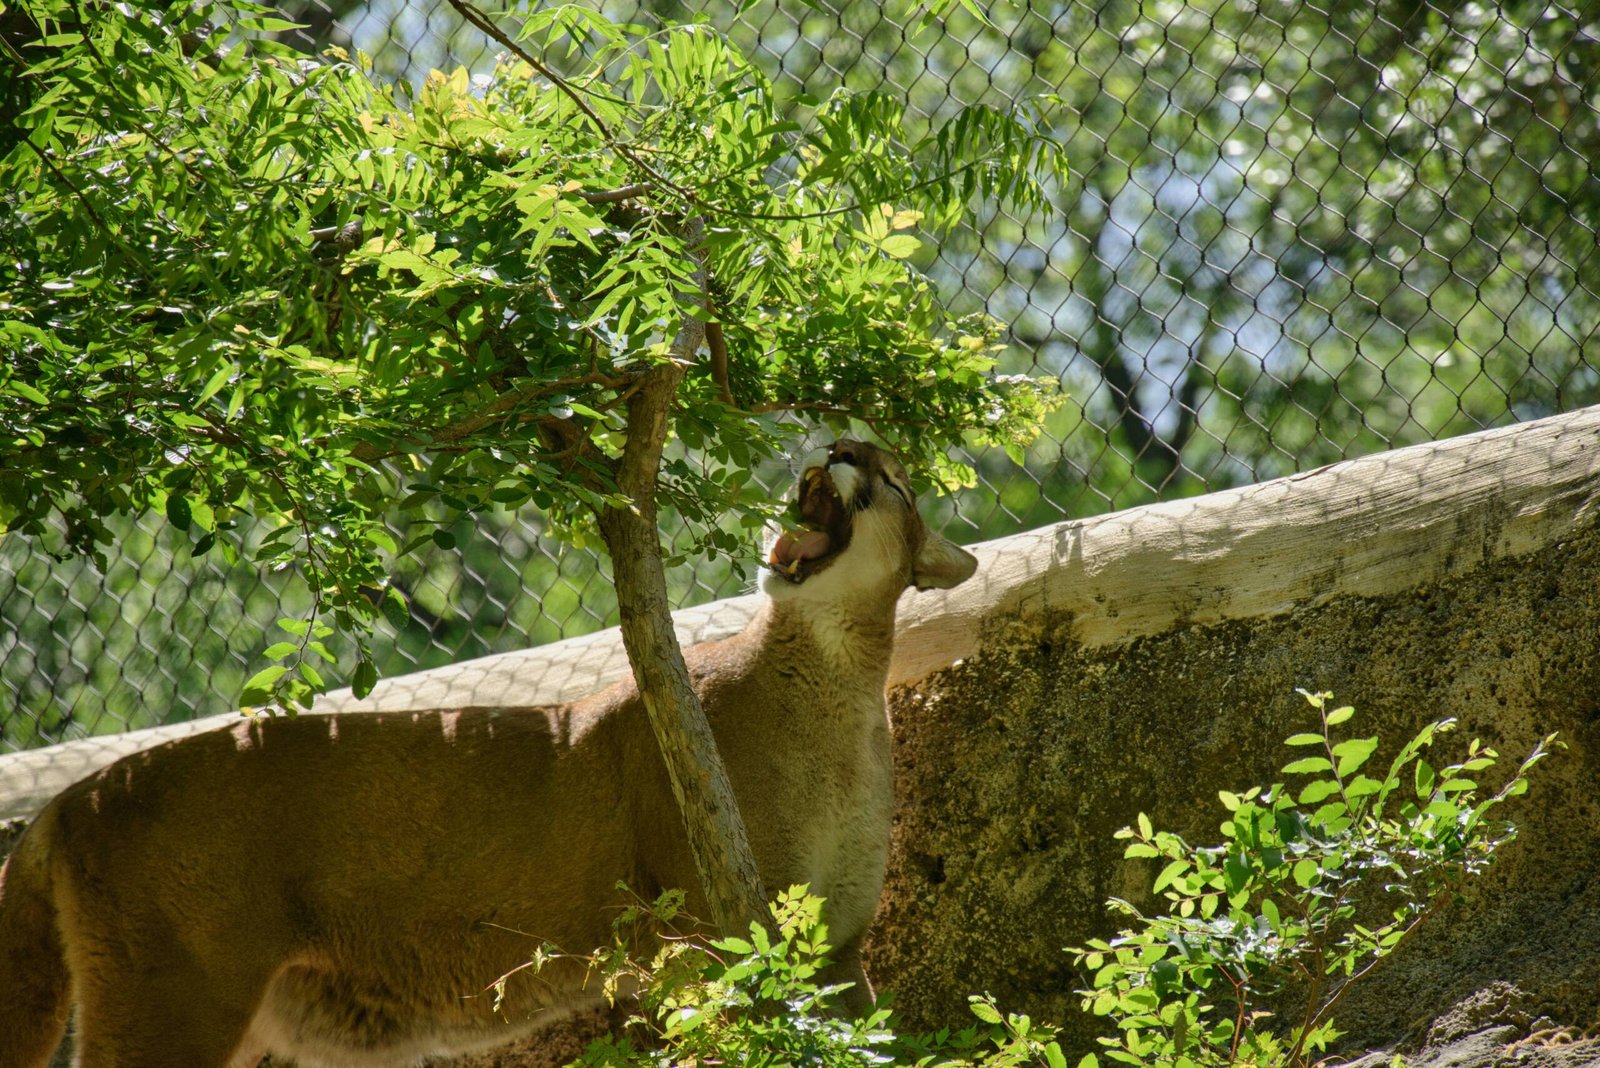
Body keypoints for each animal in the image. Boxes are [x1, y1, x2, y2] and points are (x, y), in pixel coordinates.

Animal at [0, 438, 972, 1061]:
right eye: (853, 450)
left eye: (886, 475)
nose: (832, 450)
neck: (838, 676)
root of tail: (69, 798)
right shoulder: (717, 933)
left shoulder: (837, 952)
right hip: (176, 999)